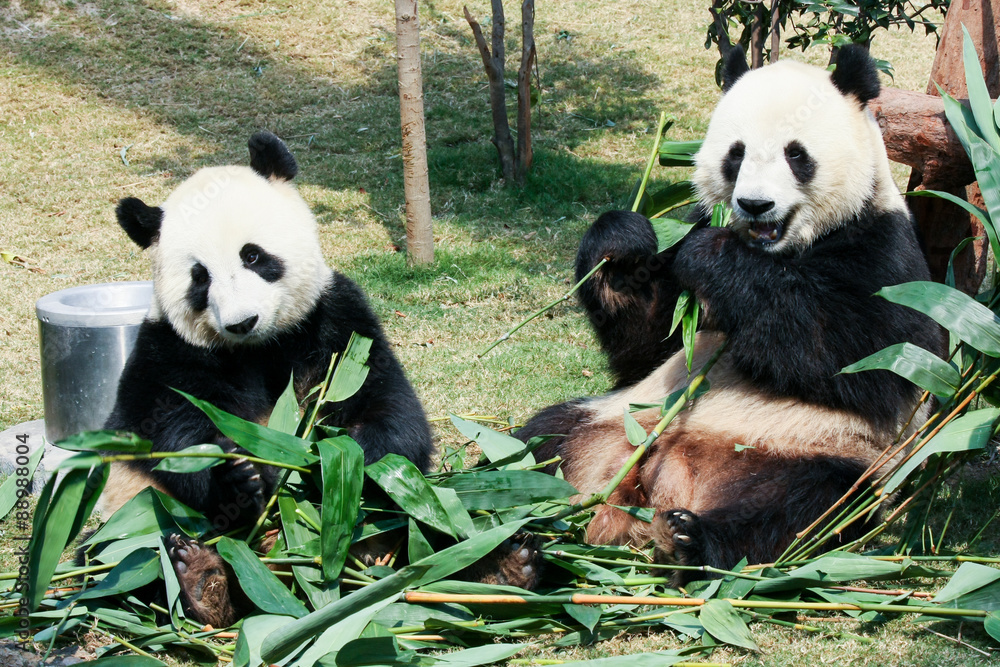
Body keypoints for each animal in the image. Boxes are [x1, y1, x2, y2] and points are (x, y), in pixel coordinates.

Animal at [99, 131, 433, 624]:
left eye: (253, 256)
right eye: (200, 277)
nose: (242, 321)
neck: (257, 349)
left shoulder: (334, 323)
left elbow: (388, 405)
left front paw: (351, 457)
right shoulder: (169, 352)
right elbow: (171, 432)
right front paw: (239, 477)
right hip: (132, 516)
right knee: (125, 563)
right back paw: (202, 581)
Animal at [516, 46, 944, 581]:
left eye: (796, 154)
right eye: (736, 153)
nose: (755, 204)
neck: (778, 250)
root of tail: (662, 485)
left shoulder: (886, 253)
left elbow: (867, 359)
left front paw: (715, 257)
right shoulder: (687, 262)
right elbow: (648, 345)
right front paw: (623, 243)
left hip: (820, 453)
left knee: (798, 510)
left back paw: (688, 542)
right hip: (608, 421)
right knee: (537, 444)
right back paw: (510, 546)